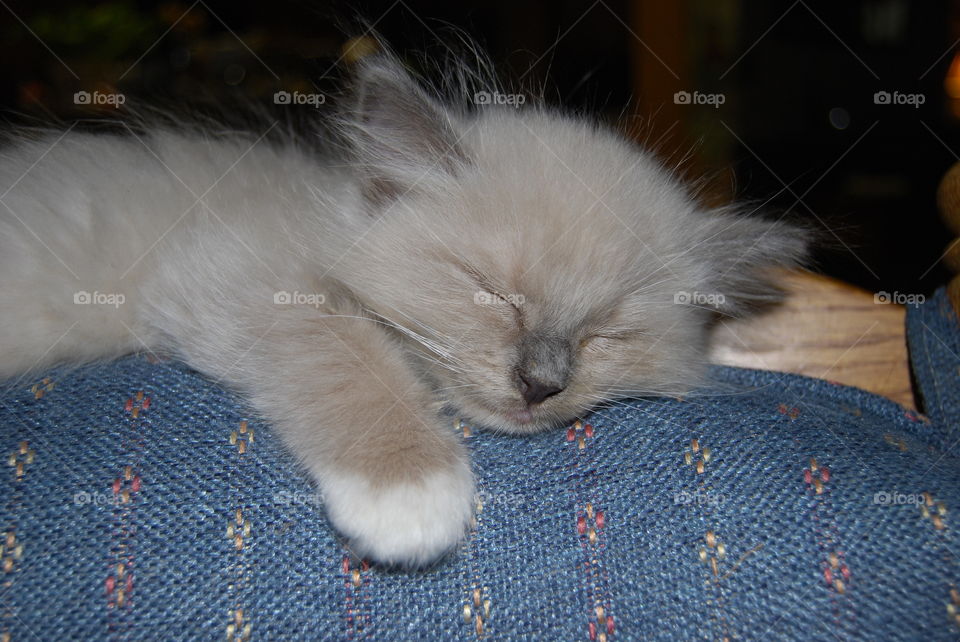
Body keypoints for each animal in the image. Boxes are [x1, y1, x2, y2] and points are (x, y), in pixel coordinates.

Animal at [0, 50, 808, 564]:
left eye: (608, 332)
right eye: (492, 291)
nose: (541, 384)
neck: (320, 212)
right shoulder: (234, 276)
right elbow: (348, 357)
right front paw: (410, 492)